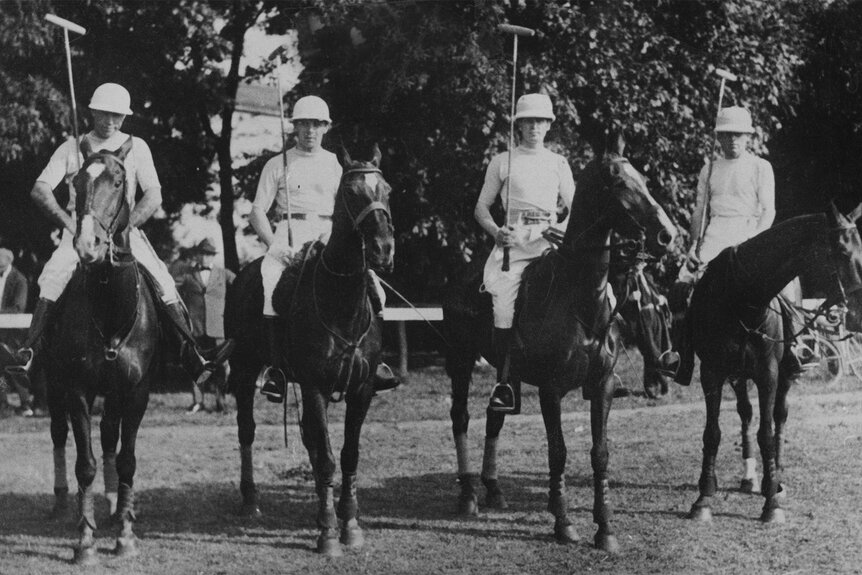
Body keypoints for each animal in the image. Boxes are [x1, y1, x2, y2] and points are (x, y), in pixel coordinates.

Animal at [42, 137, 161, 564]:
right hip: (53, 384)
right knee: (59, 434)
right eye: (76, 183)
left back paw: (113, 505)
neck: (110, 312)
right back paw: (64, 502)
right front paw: (85, 539)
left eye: (119, 181)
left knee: (110, 435)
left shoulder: (137, 390)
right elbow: (85, 464)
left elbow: (125, 459)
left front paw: (124, 532)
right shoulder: (76, 389)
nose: (87, 245)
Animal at [226, 147, 394, 560]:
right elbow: (328, 459)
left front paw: (350, 525)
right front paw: (328, 533)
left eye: (387, 190)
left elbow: (347, 455)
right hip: (244, 370)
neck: (342, 304)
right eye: (350, 192)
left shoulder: (362, 389)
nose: (383, 250)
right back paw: (250, 500)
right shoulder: (316, 385)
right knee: (247, 430)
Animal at [446, 132, 680, 552]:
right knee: (461, 417)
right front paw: (563, 522)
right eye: (617, 182)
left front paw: (605, 529)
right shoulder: (551, 389)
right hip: (459, 358)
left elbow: (599, 453)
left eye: (645, 180)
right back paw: (469, 494)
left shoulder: (601, 386)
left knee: (495, 415)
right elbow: (558, 452)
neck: (579, 301)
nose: (667, 235)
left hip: (506, 372)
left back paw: (494, 490)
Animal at [684, 204, 862, 528]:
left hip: (783, 375)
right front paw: (704, 498)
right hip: (737, 375)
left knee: (779, 417)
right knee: (745, 412)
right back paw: (750, 477)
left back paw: (775, 480)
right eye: (843, 251)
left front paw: (771, 502)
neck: (741, 297)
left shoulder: (768, 374)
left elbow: (766, 433)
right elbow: (712, 433)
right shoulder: (711, 373)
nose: (857, 313)